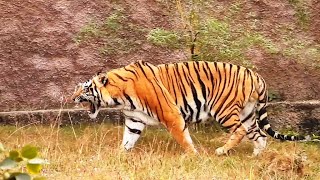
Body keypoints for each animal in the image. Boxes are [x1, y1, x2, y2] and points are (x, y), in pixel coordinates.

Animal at [70, 60, 316, 156]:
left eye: (85, 88)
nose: (71, 98)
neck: (120, 96)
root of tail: (255, 75)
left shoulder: (171, 114)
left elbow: (183, 137)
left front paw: (193, 155)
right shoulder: (134, 120)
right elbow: (128, 139)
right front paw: (121, 154)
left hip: (224, 109)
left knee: (240, 131)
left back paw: (222, 151)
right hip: (247, 113)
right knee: (258, 134)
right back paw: (257, 155)